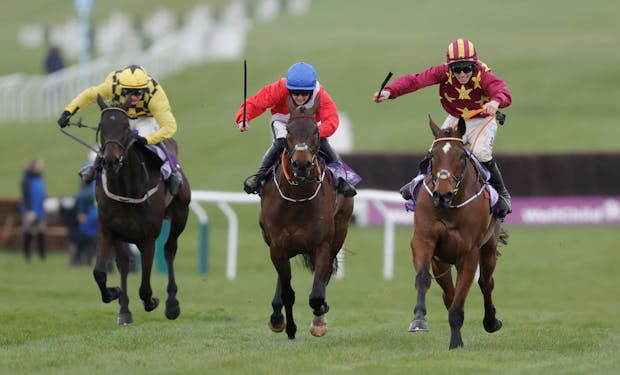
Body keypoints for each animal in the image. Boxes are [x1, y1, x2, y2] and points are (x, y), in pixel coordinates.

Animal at [93, 94, 190, 326]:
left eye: (125, 127)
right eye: (102, 126)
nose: (111, 159)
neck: (126, 189)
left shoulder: (147, 238)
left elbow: (145, 288)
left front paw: (153, 301)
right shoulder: (108, 230)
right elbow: (100, 272)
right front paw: (115, 294)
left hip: (181, 214)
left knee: (169, 250)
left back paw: (172, 304)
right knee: (123, 263)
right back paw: (124, 310)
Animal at [258, 97, 354, 340]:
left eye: (316, 132)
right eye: (289, 131)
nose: (301, 164)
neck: (297, 199)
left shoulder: (322, 245)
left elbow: (317, 294)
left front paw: (320, 316)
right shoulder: (277, 246)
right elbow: (288, 292)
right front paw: (287, 326)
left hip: (340, 230)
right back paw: (277, 315)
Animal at [410, 117, 506, 350]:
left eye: (461, 156)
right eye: (432, 156)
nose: (442, 194)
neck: (450, 206)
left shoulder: (469, 253)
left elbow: (462, 296)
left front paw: (456, 342)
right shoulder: (425, 241)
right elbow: (424, 278)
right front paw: (419, 319)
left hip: (488, 247)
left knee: (486, 283)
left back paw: (491, 321)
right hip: (442, 260)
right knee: (449, 294)